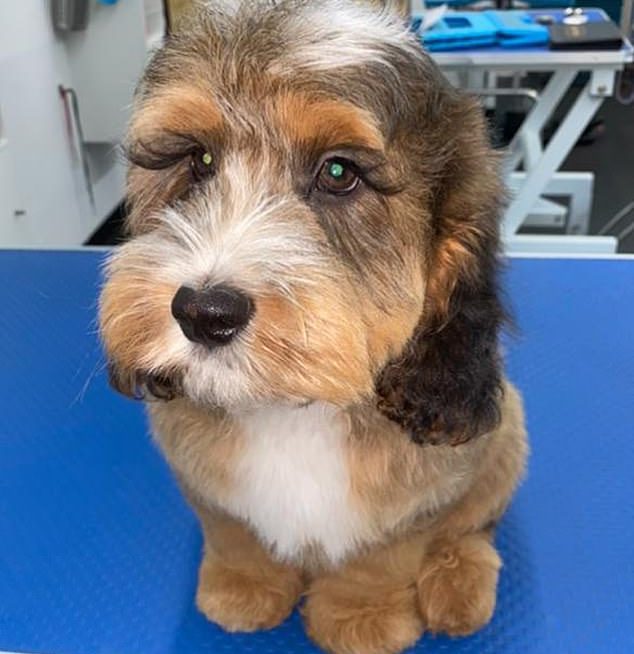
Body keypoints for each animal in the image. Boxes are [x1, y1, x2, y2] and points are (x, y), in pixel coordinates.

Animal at [99, 2, 524, 652]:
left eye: (339, 171)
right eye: (199, 160)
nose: (203, 313)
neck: (294, 408)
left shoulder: (413, 506)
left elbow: (379, 561)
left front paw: (360, 617)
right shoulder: (203, 482)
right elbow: (234, 535)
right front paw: (243, 589)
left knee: (472, 526)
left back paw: (458, 580)